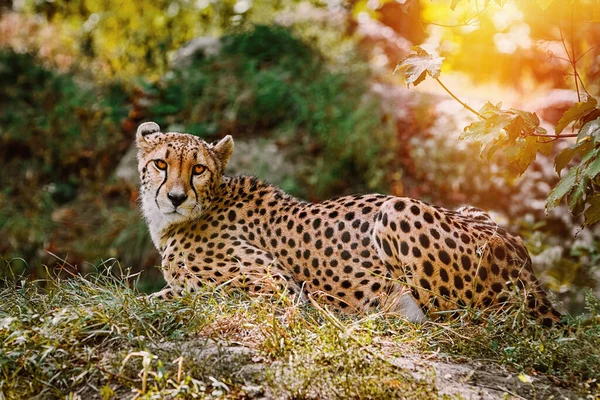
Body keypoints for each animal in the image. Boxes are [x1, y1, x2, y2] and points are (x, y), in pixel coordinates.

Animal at [136, 123, 564, 326]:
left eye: (198, 169)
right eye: (160, 164)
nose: (176, 197)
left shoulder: (280, 291)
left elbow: (186, 295)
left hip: (396, 209)